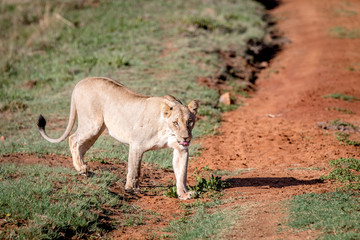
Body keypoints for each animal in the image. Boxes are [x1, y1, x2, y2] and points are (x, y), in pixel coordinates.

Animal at [37, 77, 200, 199]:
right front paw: (131, 188)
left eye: (189, 122)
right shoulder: (136, 143)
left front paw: (184, 194)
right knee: (73, 138)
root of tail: (81, 82)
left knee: (81, 146)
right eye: (175, 122)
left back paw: (84, 169)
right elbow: (134, 169)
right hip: (92, 124)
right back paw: (81, 168)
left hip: (97, 129)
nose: (186, 138)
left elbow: (181, 173)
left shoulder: (181, 149)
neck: (166, 128)